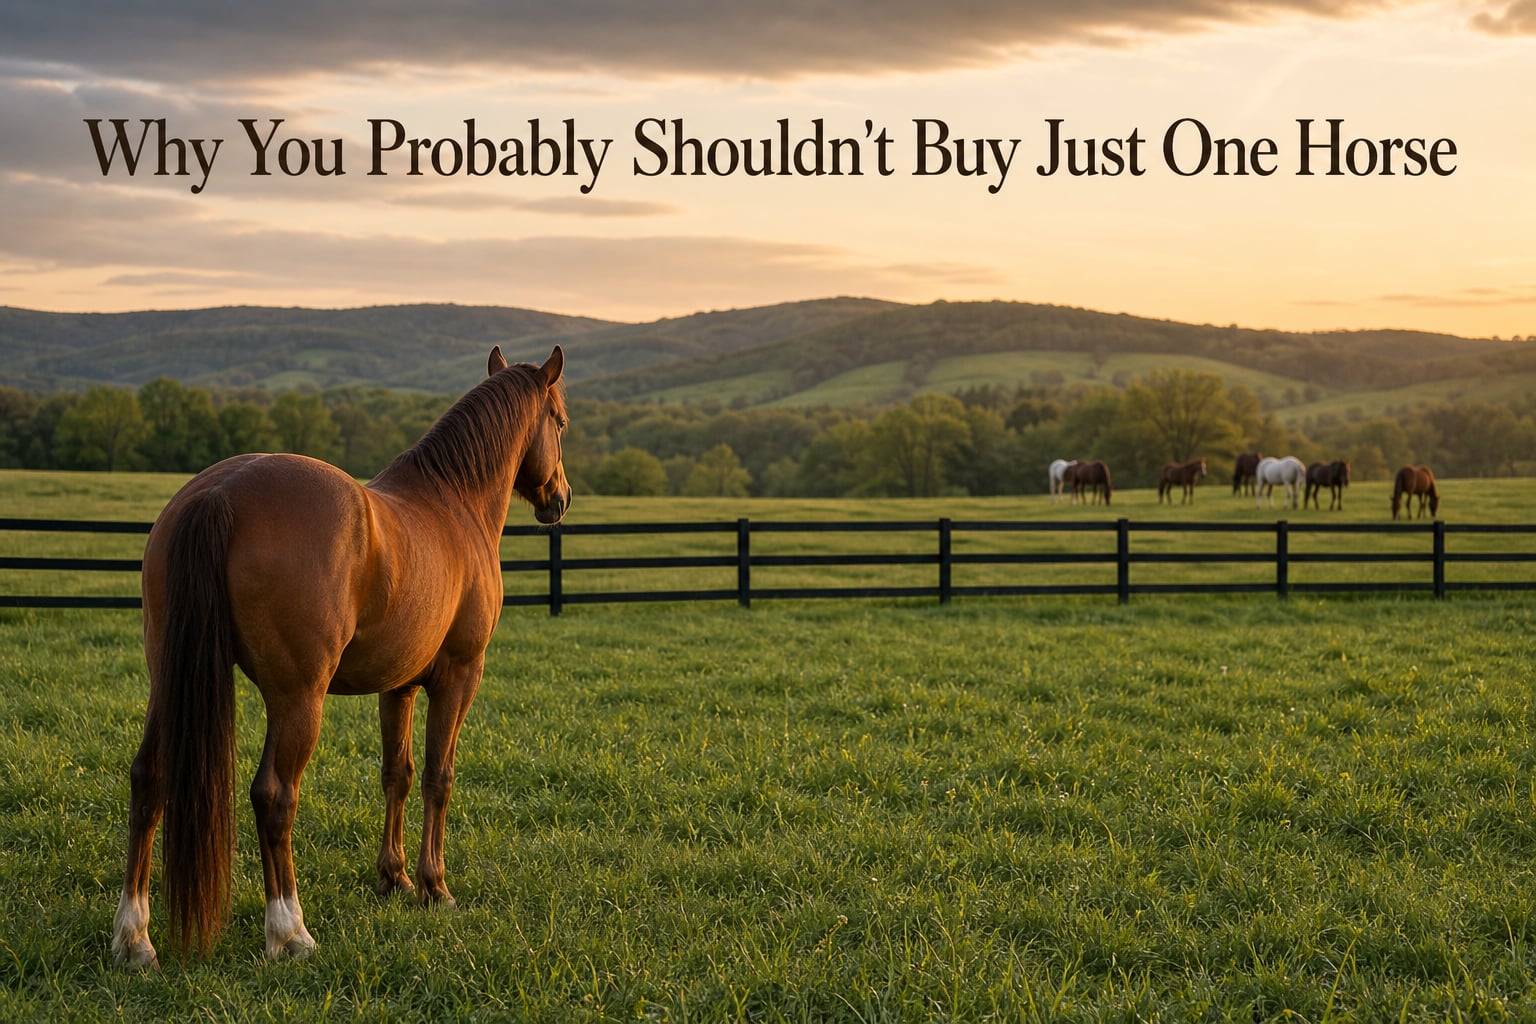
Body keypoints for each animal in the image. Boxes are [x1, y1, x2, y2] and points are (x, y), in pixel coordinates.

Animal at [111, 347, 570, 969]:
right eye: (561, 422)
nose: (560, 498)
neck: (453, 502)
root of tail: (221, 492)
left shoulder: (398, 685)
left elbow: (397, 774)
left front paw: (394, 878)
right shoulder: (459, 675)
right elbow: (439, 776)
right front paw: (435, 887)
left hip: (169, 680)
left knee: (148, 779)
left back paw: (134, 938)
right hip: (298, 698)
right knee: (274, 796)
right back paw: (289, 931)